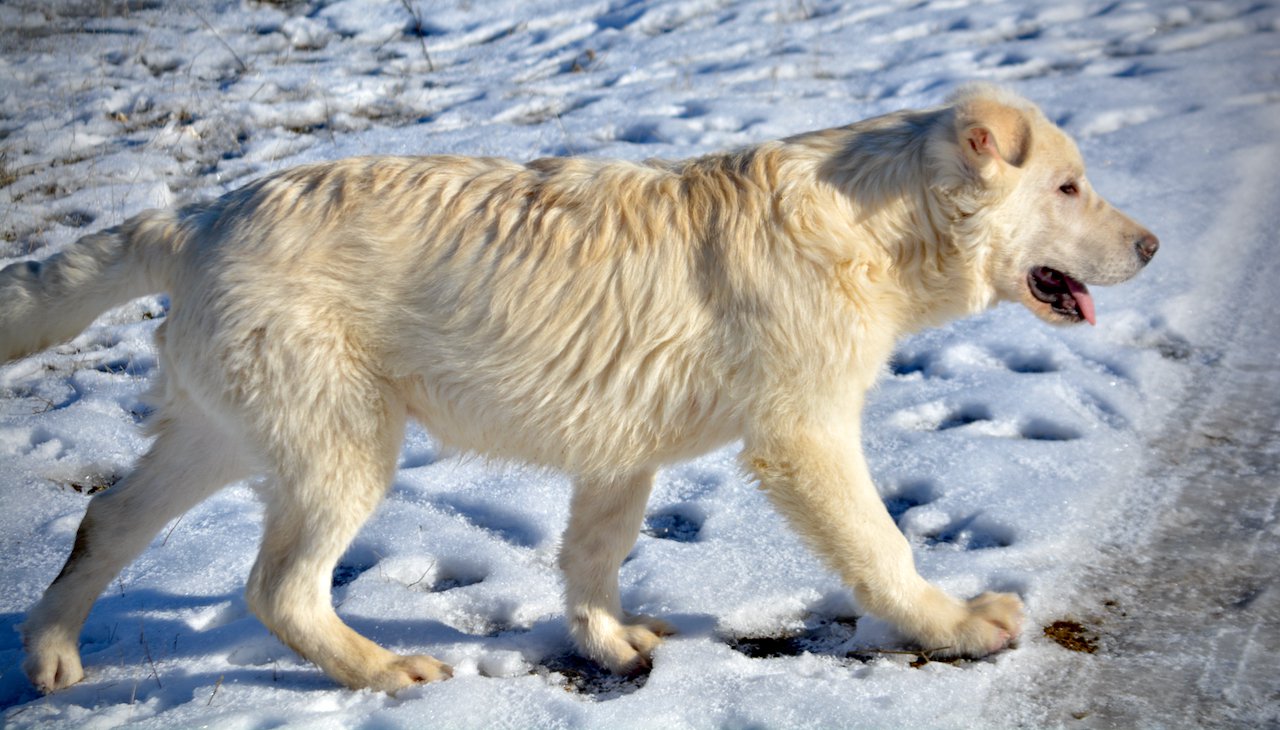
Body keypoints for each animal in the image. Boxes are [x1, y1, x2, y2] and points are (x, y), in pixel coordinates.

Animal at [2, 82, 1162, 691]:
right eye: (1067, 186)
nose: (1153, 247)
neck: (871, 227)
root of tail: (198, 217)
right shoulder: (804, 436)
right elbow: (881, 552)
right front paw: (954, 626)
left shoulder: (622, 447)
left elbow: (592, 559)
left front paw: (609, 646)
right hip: (341, 448)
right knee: (276, 587)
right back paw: (383, 673)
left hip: (227, 435)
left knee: (106, 522)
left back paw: (51, 656)